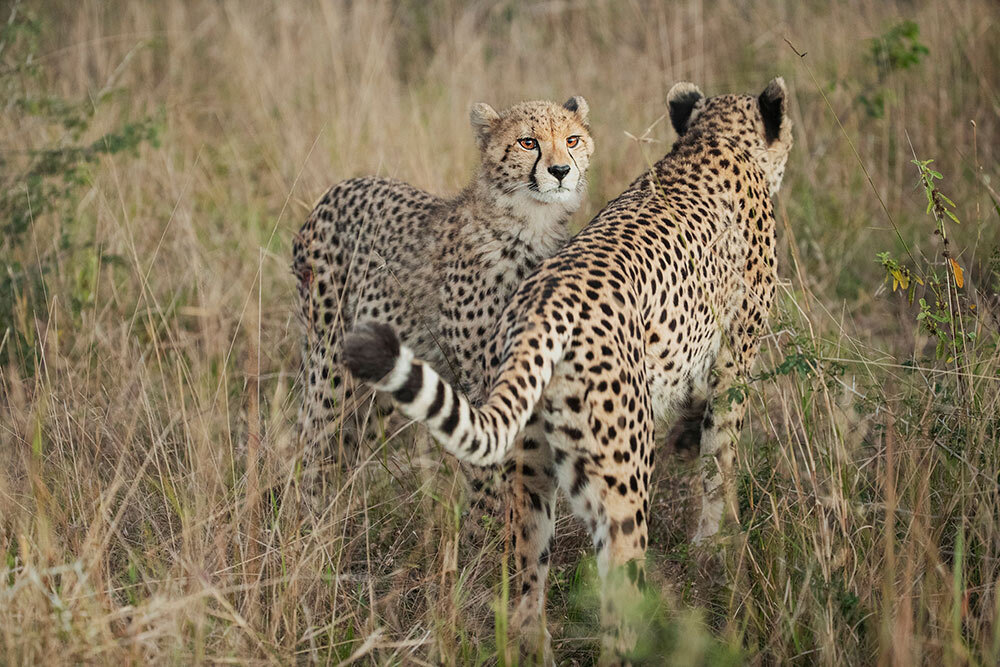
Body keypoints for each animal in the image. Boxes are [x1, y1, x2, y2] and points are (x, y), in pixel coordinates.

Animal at [292, 96, 592, 508]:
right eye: (528, 142)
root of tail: (336, 190)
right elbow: (487, 462)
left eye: (572, 140)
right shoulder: (480, 381)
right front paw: (488, 522)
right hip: (330, 362)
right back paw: (310, 513)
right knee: (314, 438)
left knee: (345, 441)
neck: (532, 224)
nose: (561, 170)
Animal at [346, 78, 796, 664]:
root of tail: (541, 304)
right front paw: (718, 545)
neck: (713, 141)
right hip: (620, 482)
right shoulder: (734, 360)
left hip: (529, 476)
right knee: (618, 605)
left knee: (525, 596)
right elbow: (720, 461)